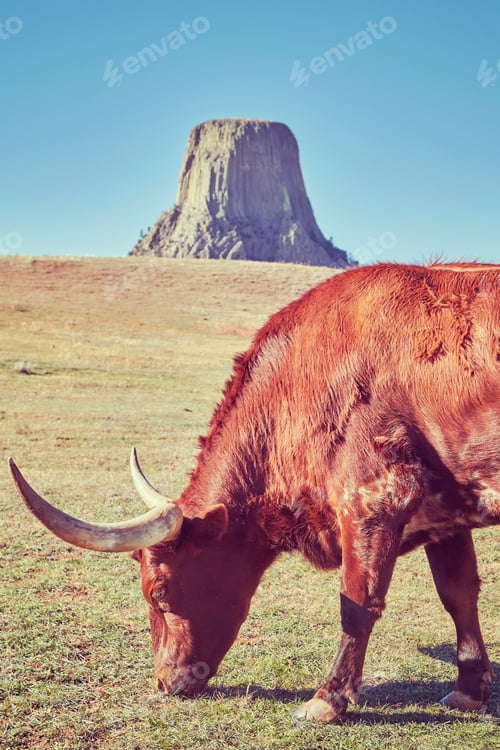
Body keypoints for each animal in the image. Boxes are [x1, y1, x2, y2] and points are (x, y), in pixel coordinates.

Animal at [9, 262, 499, 723]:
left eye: (159, 592)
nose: (164, 681)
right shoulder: (445, 509)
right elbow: (458, 592)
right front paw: (468, 688)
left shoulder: (374, 498)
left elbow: (357, 603)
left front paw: (328, 699)